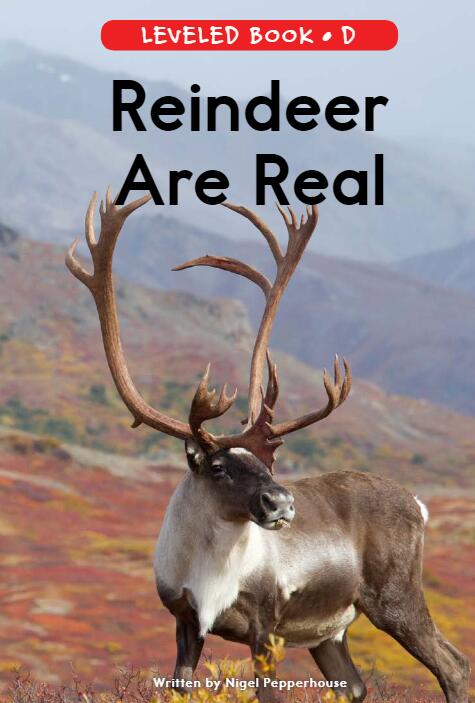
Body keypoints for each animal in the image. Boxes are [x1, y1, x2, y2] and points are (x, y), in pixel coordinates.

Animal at [66, 190, 470, 703]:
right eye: (218, 466)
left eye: (267, 463)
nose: (281, 503)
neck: (209, 568)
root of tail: (418, 504)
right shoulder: (185, 623)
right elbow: (180, 685)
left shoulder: (266, 628)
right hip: (329, 633)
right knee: (355, 687)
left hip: (394, 598)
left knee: (452, 663)